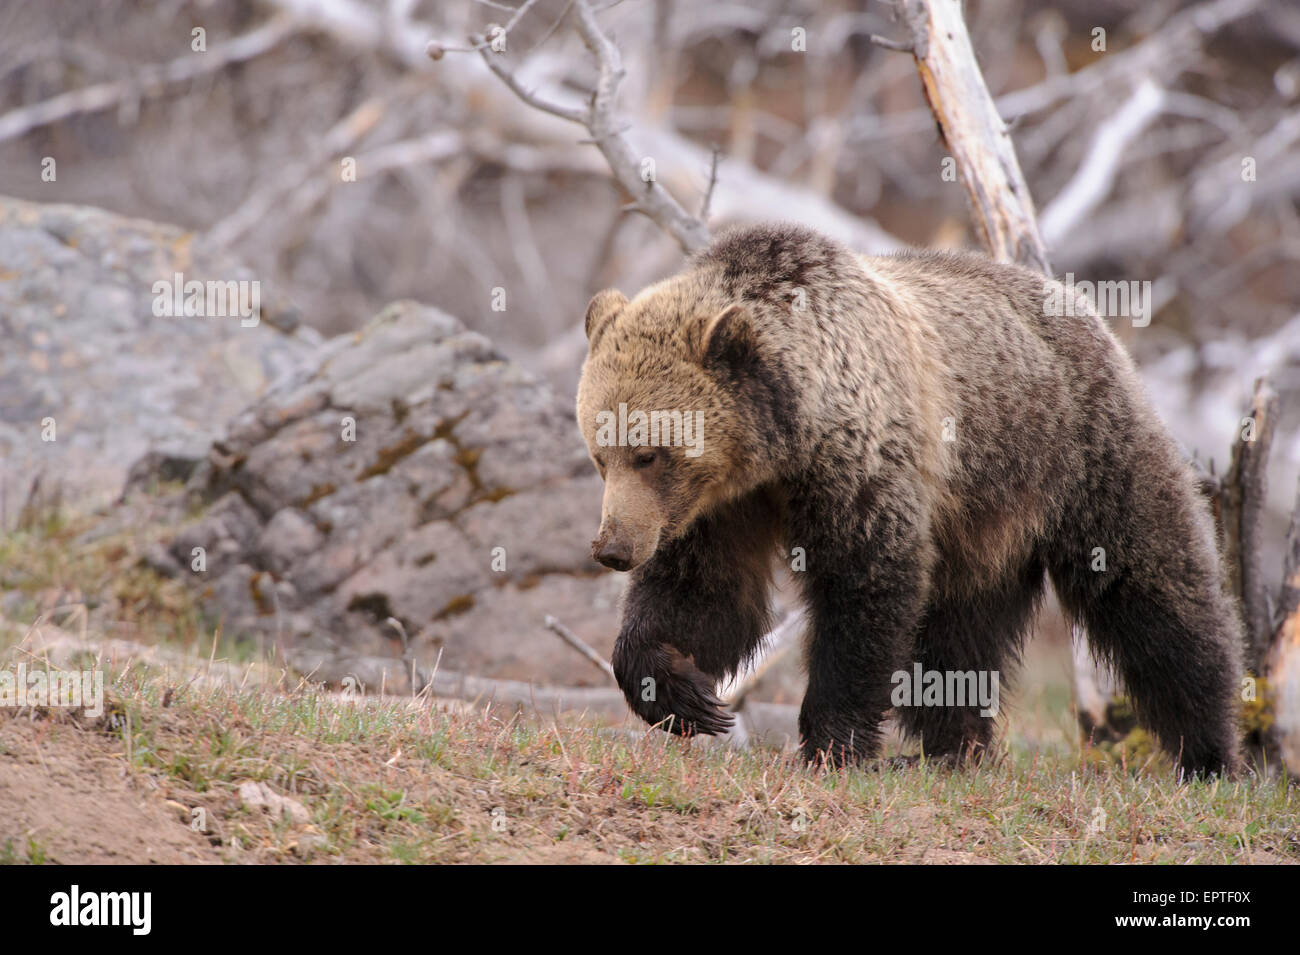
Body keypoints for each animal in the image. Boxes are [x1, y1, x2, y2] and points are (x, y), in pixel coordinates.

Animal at [577, 222, 1237, 779]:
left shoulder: (859, 463)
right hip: (982, 523)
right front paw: (684, 696)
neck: (782, 444)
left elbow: (865, 585)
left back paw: (1209, 749)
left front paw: (831, 744)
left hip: (1078, 450)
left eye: (651, 453)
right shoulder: (721, 507)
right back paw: (952, 747)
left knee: (1152, 584)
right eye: (600, 452)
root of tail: (1078, 303)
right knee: (959, 633)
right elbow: (704, 594)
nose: (613, 548)